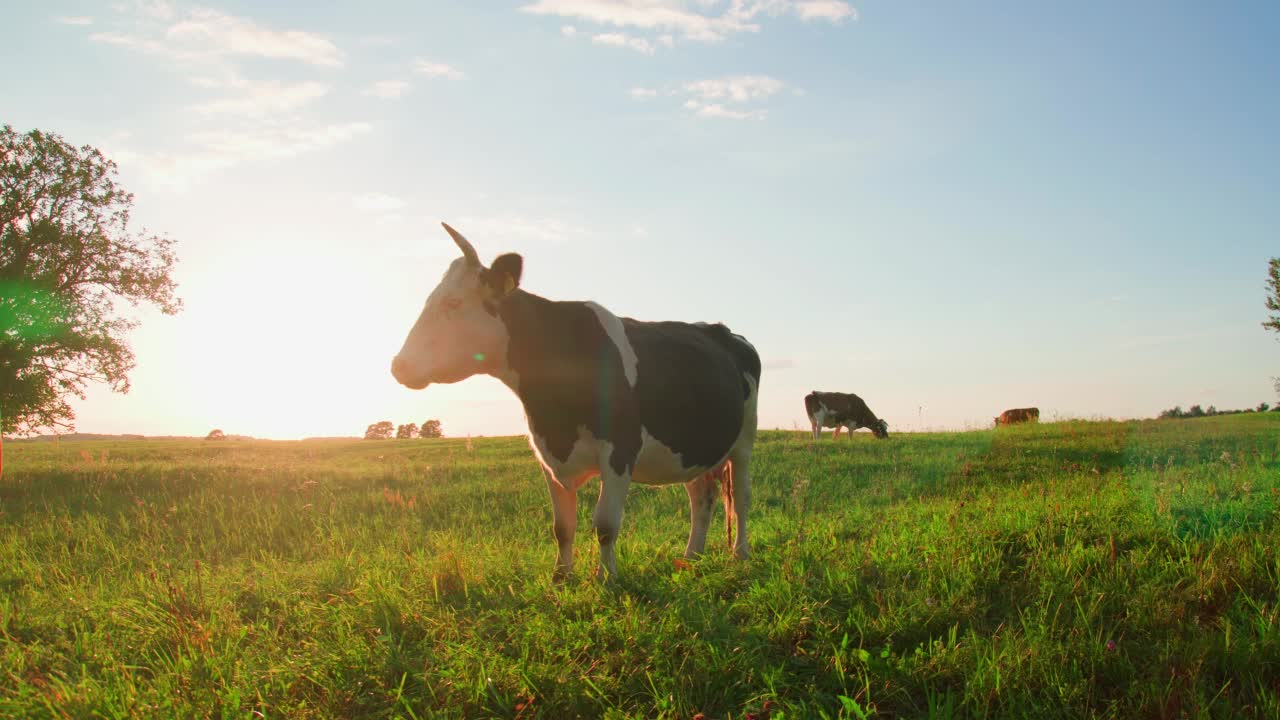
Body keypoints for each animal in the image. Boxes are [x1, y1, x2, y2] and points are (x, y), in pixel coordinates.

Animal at [384, 221, 752, 579]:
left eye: (453, 303)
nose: (399, 366)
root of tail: (722, 330)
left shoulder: (620, 451)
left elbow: (605, 524)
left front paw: (606, 578)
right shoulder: (547, 455)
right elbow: (562, 527)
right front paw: (561, 577)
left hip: (744, 440)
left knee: (741, 500)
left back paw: (740, 554)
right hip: (696, 450)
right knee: (701, 497)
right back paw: (692, 557)